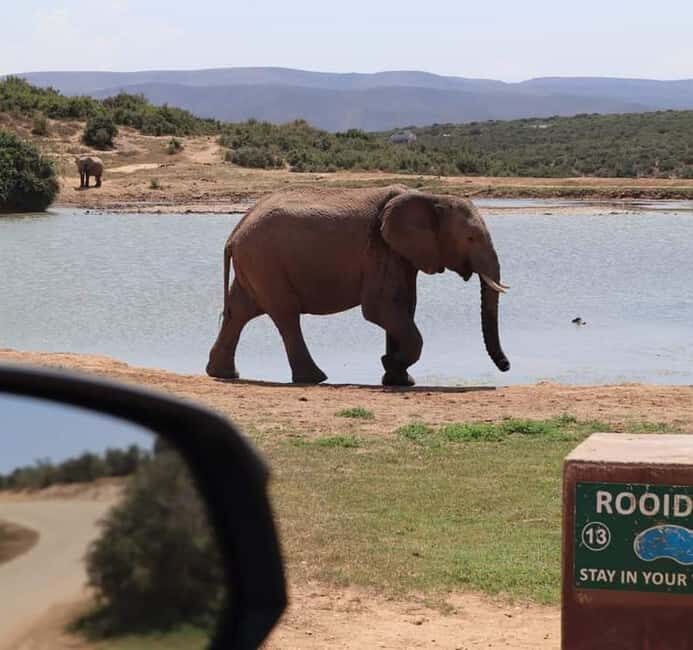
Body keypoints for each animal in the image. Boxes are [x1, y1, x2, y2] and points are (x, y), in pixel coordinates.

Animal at [206, 185, 510, 386]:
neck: (431, 197)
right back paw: (314, 378)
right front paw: (391, 365)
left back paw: (223, 374)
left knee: (239, 311)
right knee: (286, 314)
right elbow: (381, 309)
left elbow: (403, 308)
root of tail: (234, 233)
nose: (506, 366)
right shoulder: (381, 249)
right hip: (265, 261)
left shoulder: (399, 254)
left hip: (254, 263)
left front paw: (398, 379)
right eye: (471, 238)